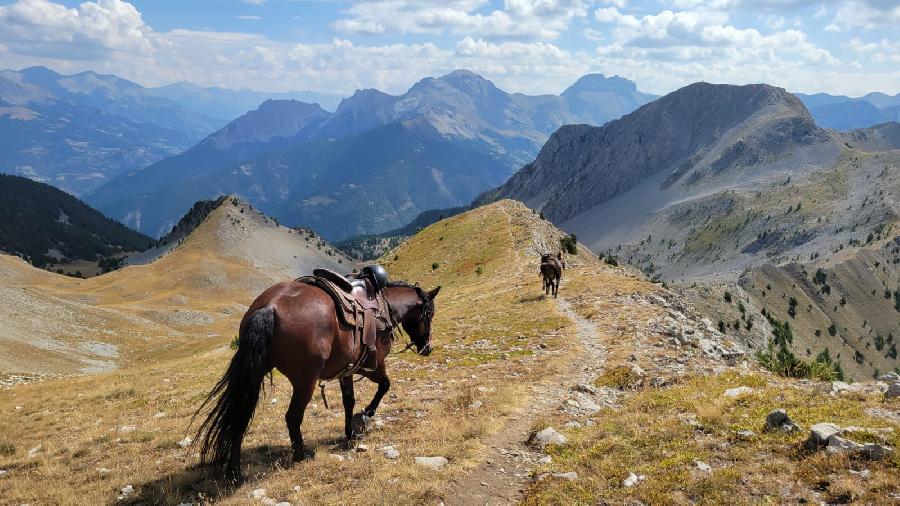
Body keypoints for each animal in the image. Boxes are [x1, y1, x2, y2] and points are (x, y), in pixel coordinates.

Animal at [195, 278, 442, 484]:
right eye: (429, 313)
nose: (427, 348)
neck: (385, 308)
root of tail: (270, 307)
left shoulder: (347, 370)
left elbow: (348, 401)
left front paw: (350, 432)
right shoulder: (373, 366)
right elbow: (384, 385)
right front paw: (366, 414)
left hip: (254, 374)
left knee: (241, 415)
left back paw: (234, 472)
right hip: (305, 381)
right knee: (292, 417)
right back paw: (301, 455)